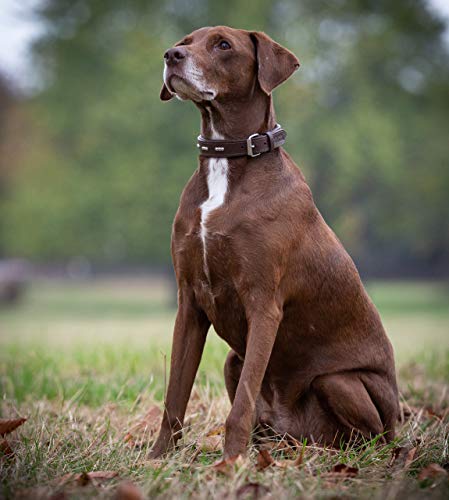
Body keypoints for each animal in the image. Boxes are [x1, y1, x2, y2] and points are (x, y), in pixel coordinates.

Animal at [151, 25, 400, 458]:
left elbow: (240, 406)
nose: (171, 55)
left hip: (342, 383)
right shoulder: (190, 302)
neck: (227, 163)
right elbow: (175, 396)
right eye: (185, 40)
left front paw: (230, 464)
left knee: (366, 436)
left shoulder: (263, 305)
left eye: (223, 45)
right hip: (233, 360)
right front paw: (157, 457)